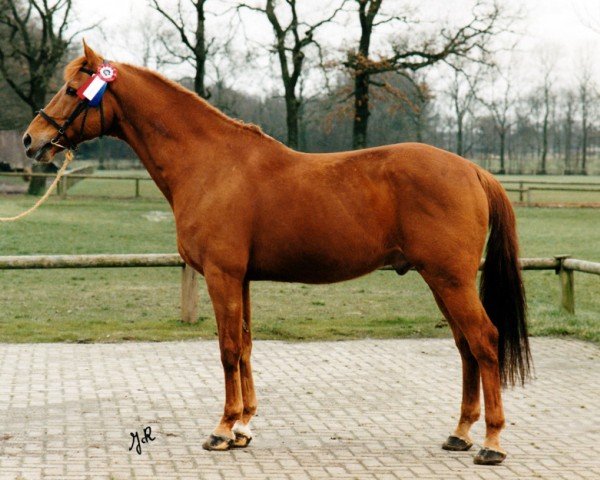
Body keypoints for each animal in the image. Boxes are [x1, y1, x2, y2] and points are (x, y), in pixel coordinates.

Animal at [23, 44, 528, 464]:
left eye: (72, 89)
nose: (32, 140)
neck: (210, 163)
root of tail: (473, 170)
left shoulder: (222, 275)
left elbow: (228, 348)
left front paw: (222, 429)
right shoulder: (241, 278)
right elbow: (246, 346)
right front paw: (243, 427)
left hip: (450, 278)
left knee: (484, 341)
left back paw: (491, 442)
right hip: (441, 280)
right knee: (466, 347)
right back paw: (460, 433)